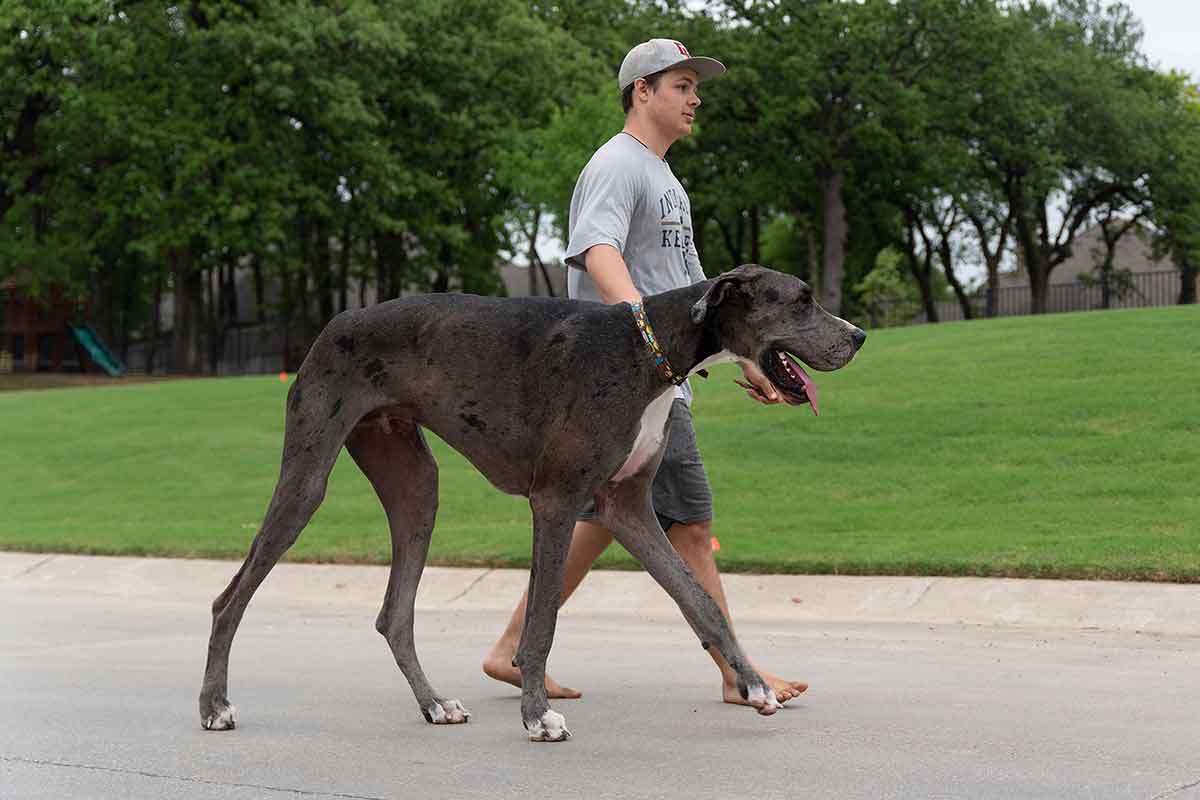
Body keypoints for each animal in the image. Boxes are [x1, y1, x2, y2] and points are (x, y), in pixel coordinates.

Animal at [201, 266, 868, 743]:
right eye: (801, 300)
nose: (860, 337)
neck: (649, 351)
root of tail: (334, 323)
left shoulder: (627, 508)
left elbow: (699, 599)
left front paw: (755, 687)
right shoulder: (556, 501)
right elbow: (542, 619)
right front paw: (537, 716)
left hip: (416, 486)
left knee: (395, 613)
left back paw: (434, 704)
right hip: (307, 478)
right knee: (230, 597)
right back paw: (215, 706)